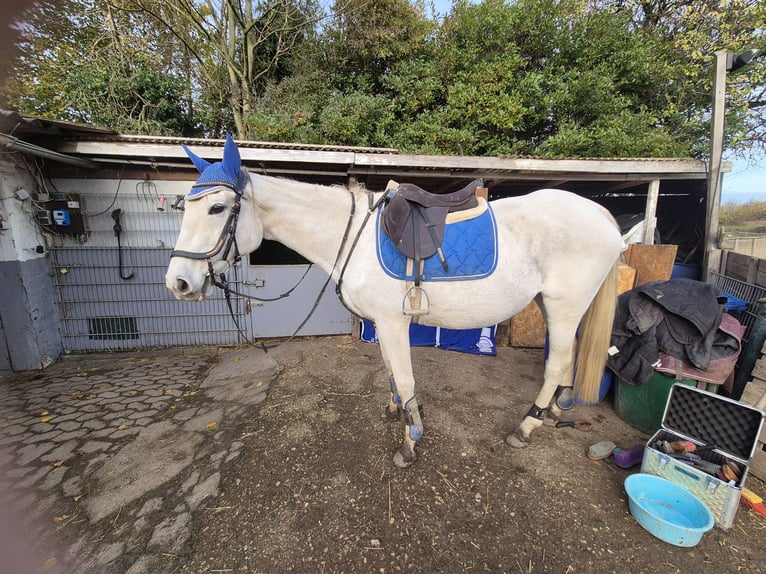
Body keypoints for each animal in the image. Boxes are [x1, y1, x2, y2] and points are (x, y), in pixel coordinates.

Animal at [166, 135, 624, 468]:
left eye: (217, 208)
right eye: (183, 208)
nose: (178, 282)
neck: (348, 235)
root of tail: (600, 214)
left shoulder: (392, 322)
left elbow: (404, 378)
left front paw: (410, 441)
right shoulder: (383, 325)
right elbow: (390, 371)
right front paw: (398, 412)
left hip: (564, 306)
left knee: (555, 363)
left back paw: (527, 426)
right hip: (553, 306)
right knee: (567, 357)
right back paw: (555, 411)